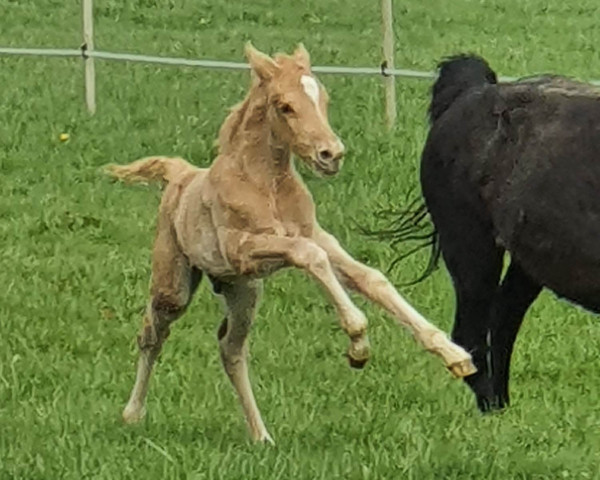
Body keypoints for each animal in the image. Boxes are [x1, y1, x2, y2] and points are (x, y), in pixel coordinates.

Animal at [105, 43, 476, 444]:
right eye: (284, 106)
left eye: (323, 98)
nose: (331, 155)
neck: (265, 186)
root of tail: (181, 174)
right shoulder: (243, 249)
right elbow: (308, 256)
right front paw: (358, 342)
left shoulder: (315, 236)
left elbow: (370, 278)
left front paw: (455, 355)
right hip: (175, 285)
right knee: (151, 334)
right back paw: (132, 414)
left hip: (243, 292)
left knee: (231, 349)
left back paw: (261, 436)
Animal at [380, 54, 600, 410]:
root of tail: (473, 92)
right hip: (471, 248)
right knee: (470, 335)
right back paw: (491, 406)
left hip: (526, 260)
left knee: (503, 318)